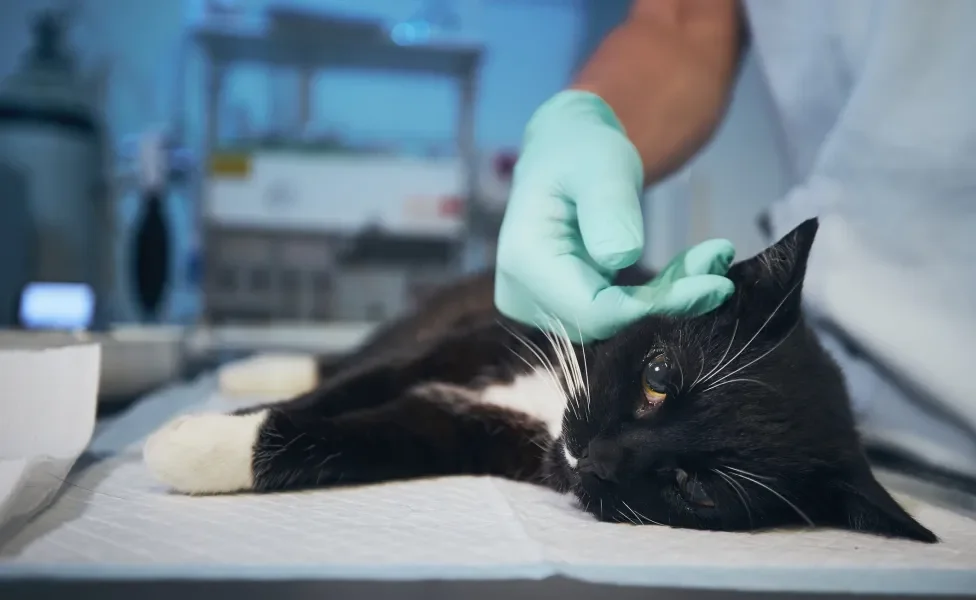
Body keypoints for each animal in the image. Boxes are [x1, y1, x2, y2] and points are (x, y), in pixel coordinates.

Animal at [143, 219, 936, 544]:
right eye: (658, 377)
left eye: (695, 488)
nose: (598, 456)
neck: (546, 407)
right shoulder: (480, 340)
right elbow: (357, 385)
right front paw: (206, 430)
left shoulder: (472, 433)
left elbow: (374, 436)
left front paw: (203, 451)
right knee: (360, 354)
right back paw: (253, 366)